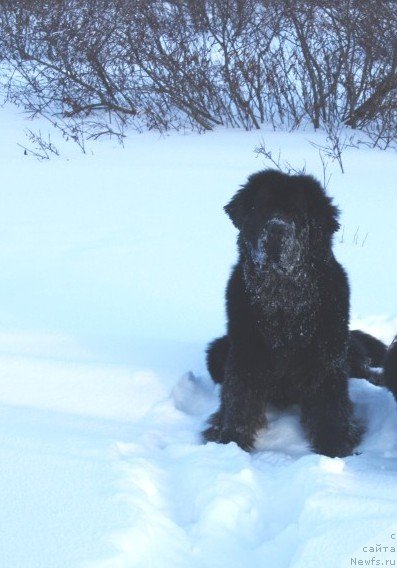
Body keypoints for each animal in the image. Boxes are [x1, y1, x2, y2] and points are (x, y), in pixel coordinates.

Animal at [203, 169, 386, 458]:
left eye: (297, 214)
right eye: (263, 208)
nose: (277, 229)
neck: (284, 303)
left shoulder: (326, 359)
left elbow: (331, 408)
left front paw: (335, 447)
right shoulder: (245, 354)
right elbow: (239, 401)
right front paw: (229, 442)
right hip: (218, 350)